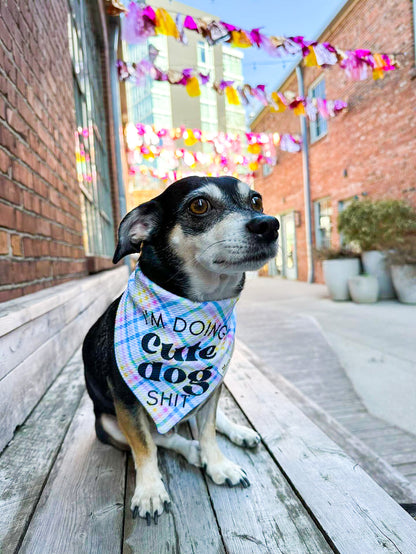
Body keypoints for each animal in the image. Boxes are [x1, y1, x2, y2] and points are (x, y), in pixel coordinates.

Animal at [82, 176, 280, 520]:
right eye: (199, 205)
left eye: (256, 200)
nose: (269, 224)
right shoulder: (125, 403)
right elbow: (145, 446)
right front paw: (149, 490)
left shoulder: (212, 384)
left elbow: (209, 431)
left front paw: (219, 465)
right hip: (107, 424)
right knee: (166, 438)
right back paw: (191, 451)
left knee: (201, 423)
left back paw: (237, 433)